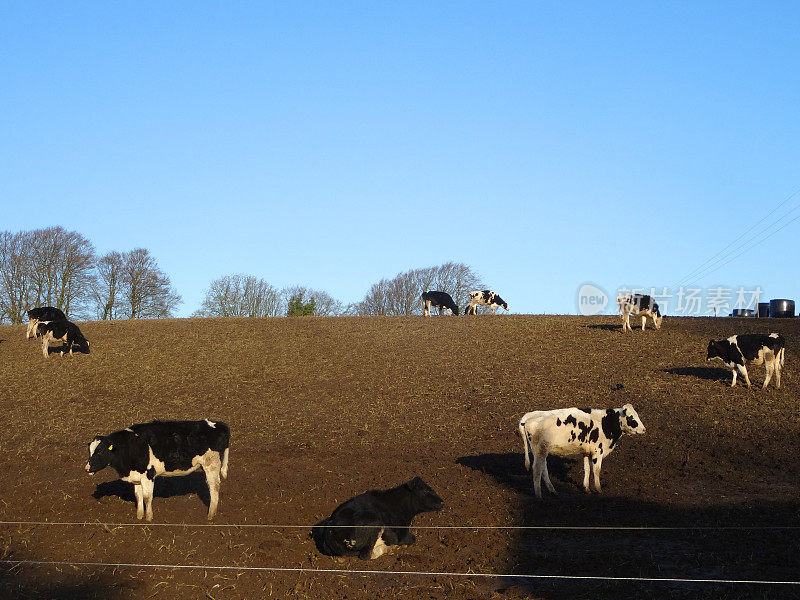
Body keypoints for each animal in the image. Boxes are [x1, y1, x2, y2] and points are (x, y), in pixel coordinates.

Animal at [86, 418, 230, 520]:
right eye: (90, 451)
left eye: (100, 451)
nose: (87, 468)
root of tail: (219, 424)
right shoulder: (137, 476)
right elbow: (138, 496)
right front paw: (139, 517)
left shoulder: (148, 475)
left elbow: (147, 497)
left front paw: (149, 518)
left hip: (211, 465)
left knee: (214, 487)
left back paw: (210, 515)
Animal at [310, 476, 444, 560]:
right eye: (425, 491)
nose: (443, 502)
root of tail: (330, 529)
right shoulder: (402, 533)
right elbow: (412, 538)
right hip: (372, 519)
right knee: (366, 555)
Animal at [516, 406, 648, 500]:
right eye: (631, 418)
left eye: (637, 415)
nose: (644, 429)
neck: (605, 423)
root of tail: (528, 417)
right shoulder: (597, 452)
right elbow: (596, 470)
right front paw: (599, 490)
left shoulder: (587, 452)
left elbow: (587, 469)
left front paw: (586, 488)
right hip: (540, 451)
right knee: (537, 470)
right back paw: (539, 496)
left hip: (540, 451)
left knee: (543, 469)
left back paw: (552, 491)